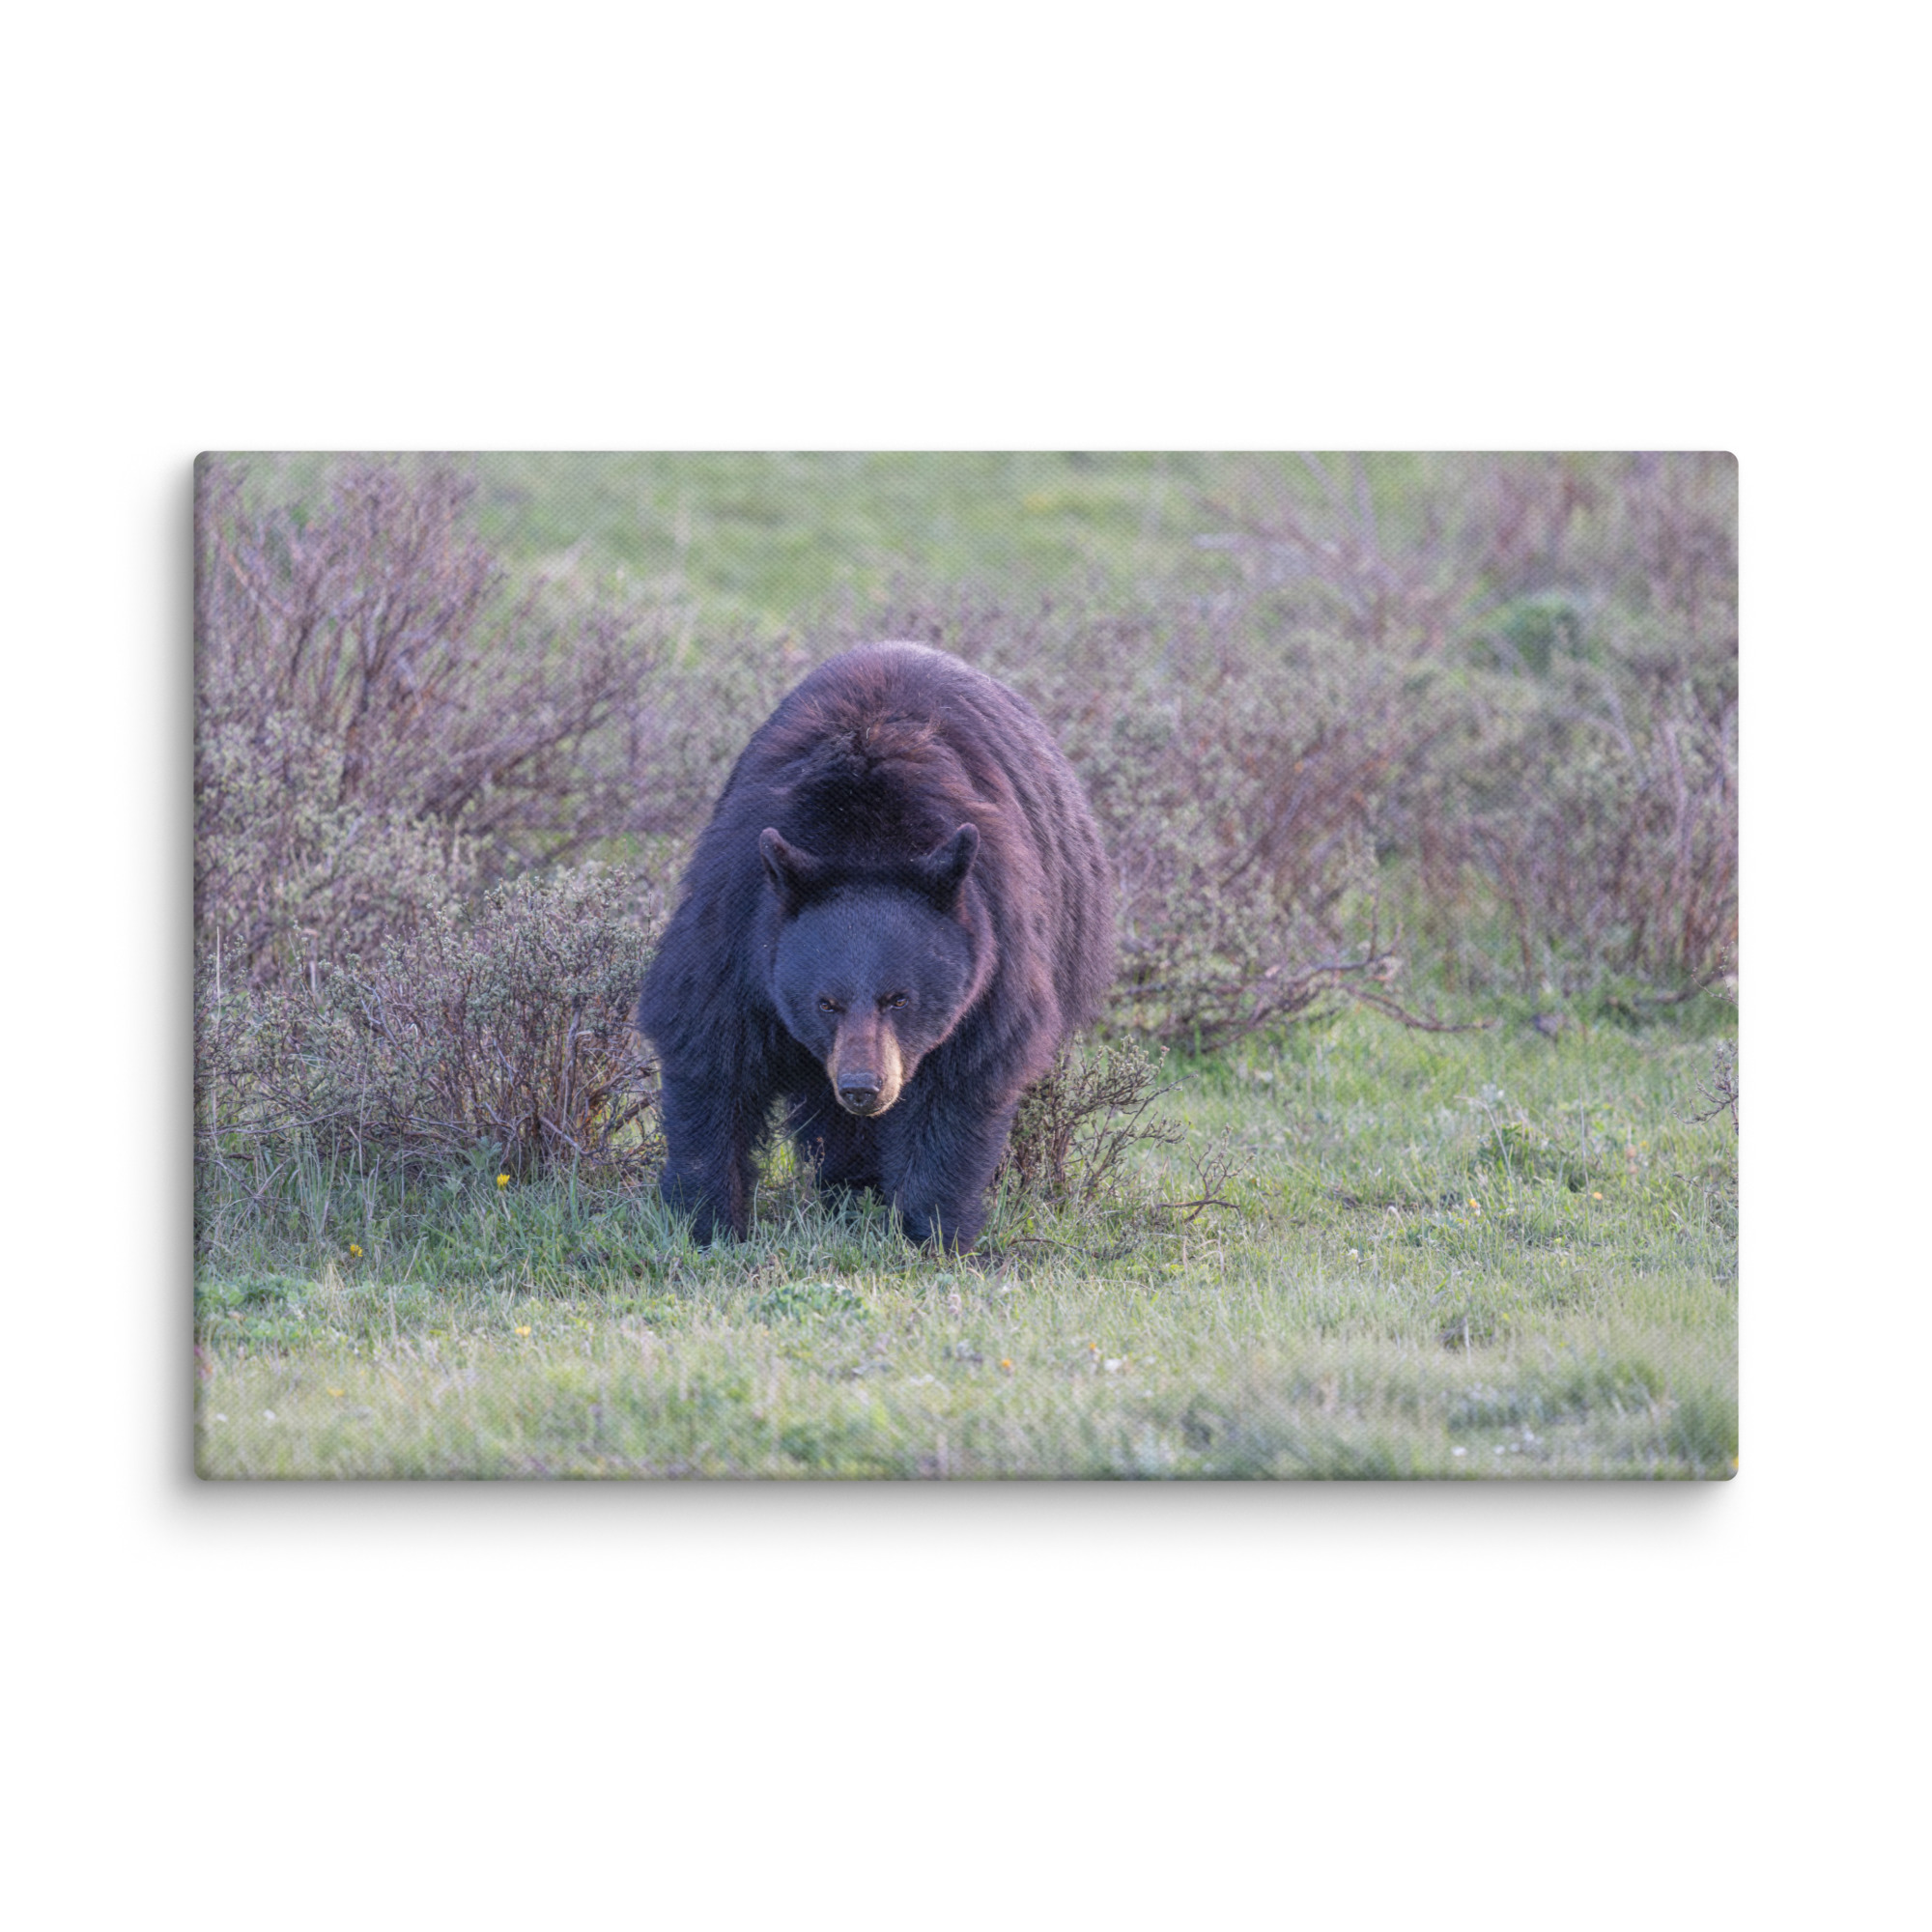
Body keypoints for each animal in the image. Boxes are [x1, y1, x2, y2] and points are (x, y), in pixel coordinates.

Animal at [636, 641, 1115, 1250]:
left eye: (899, 998)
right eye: (825, 1003)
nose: (864, 1088)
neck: (864, 837)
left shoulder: (995, 944)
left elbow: (962, 1079)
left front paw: (933, 1230)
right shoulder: (738, 921)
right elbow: (710, 1049)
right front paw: (708, 1220)